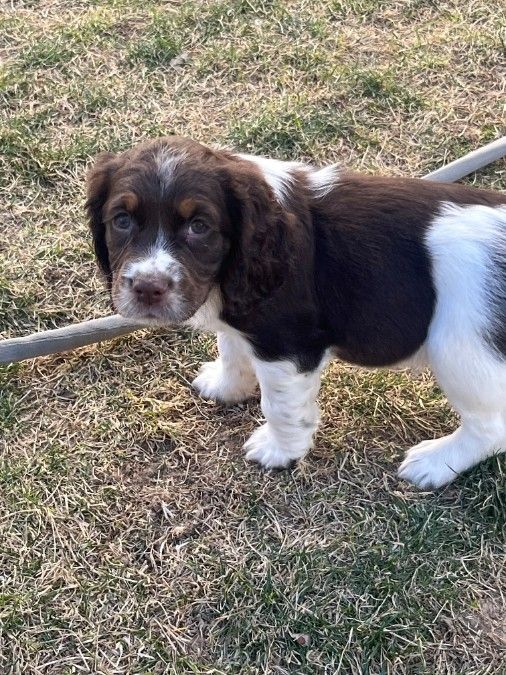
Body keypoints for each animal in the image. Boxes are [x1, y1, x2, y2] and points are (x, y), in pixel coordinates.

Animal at [86, 137, 506, 488]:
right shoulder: (245, 317)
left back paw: (434, 463)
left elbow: (280, 406)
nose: (147, 288)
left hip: (461, 348)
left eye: (199, 226)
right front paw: (225, 386)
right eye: (121, 220)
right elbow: (232, 349)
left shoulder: (287, 344)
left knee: (490, 427)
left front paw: (278, 451)